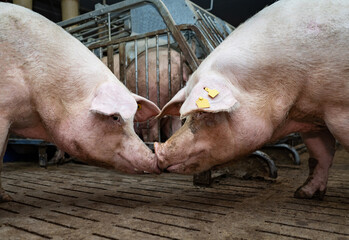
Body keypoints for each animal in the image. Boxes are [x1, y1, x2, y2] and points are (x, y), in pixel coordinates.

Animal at [156, 0, 348, 199]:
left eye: (202, 113)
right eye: (185, 118)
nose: (159, 152)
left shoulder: (338, 111)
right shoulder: (311, 118)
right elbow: (319, 156)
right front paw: (302, 194)